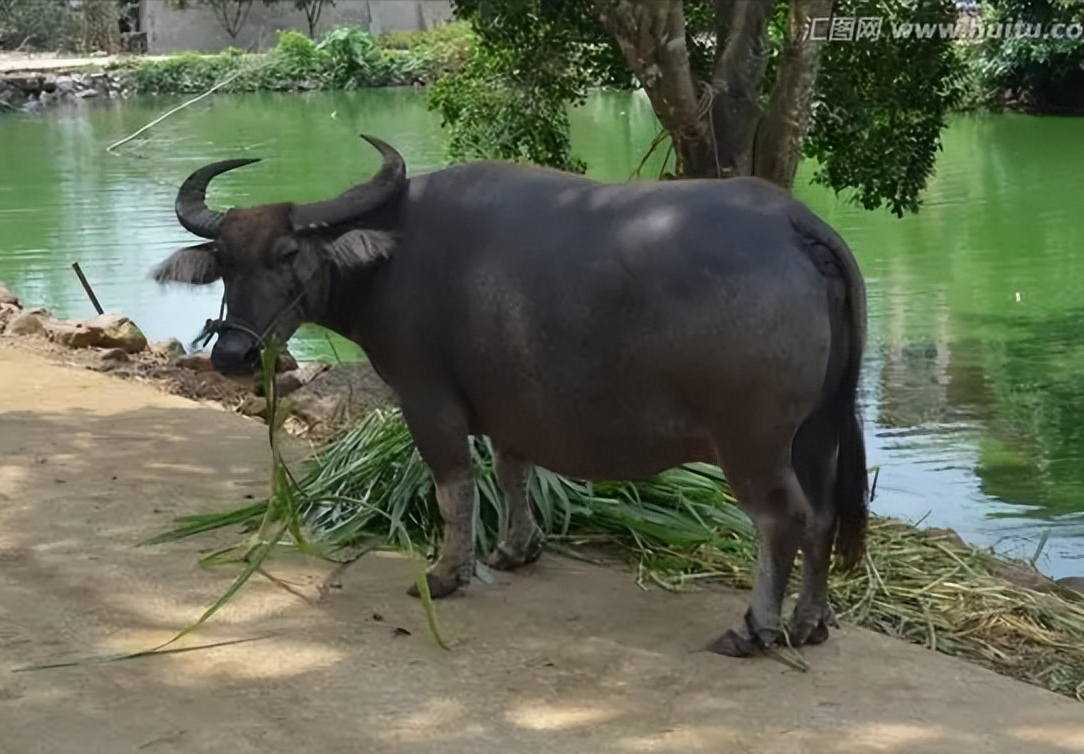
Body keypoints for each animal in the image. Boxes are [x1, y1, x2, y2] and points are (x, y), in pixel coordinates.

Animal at [152, 132, 867, 658]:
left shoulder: (427, 398)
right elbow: (511, 467)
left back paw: (755, 628)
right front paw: (516, 550)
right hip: (816, 431)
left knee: (782, 519)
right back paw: (809, 622)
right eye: (226, 262)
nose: (235, 355)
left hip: (753, 441)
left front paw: (447, 574)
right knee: (823, 515)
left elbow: (454, 486)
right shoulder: (509, 402)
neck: (392, 258)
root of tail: (795, 223)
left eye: (288, 255)